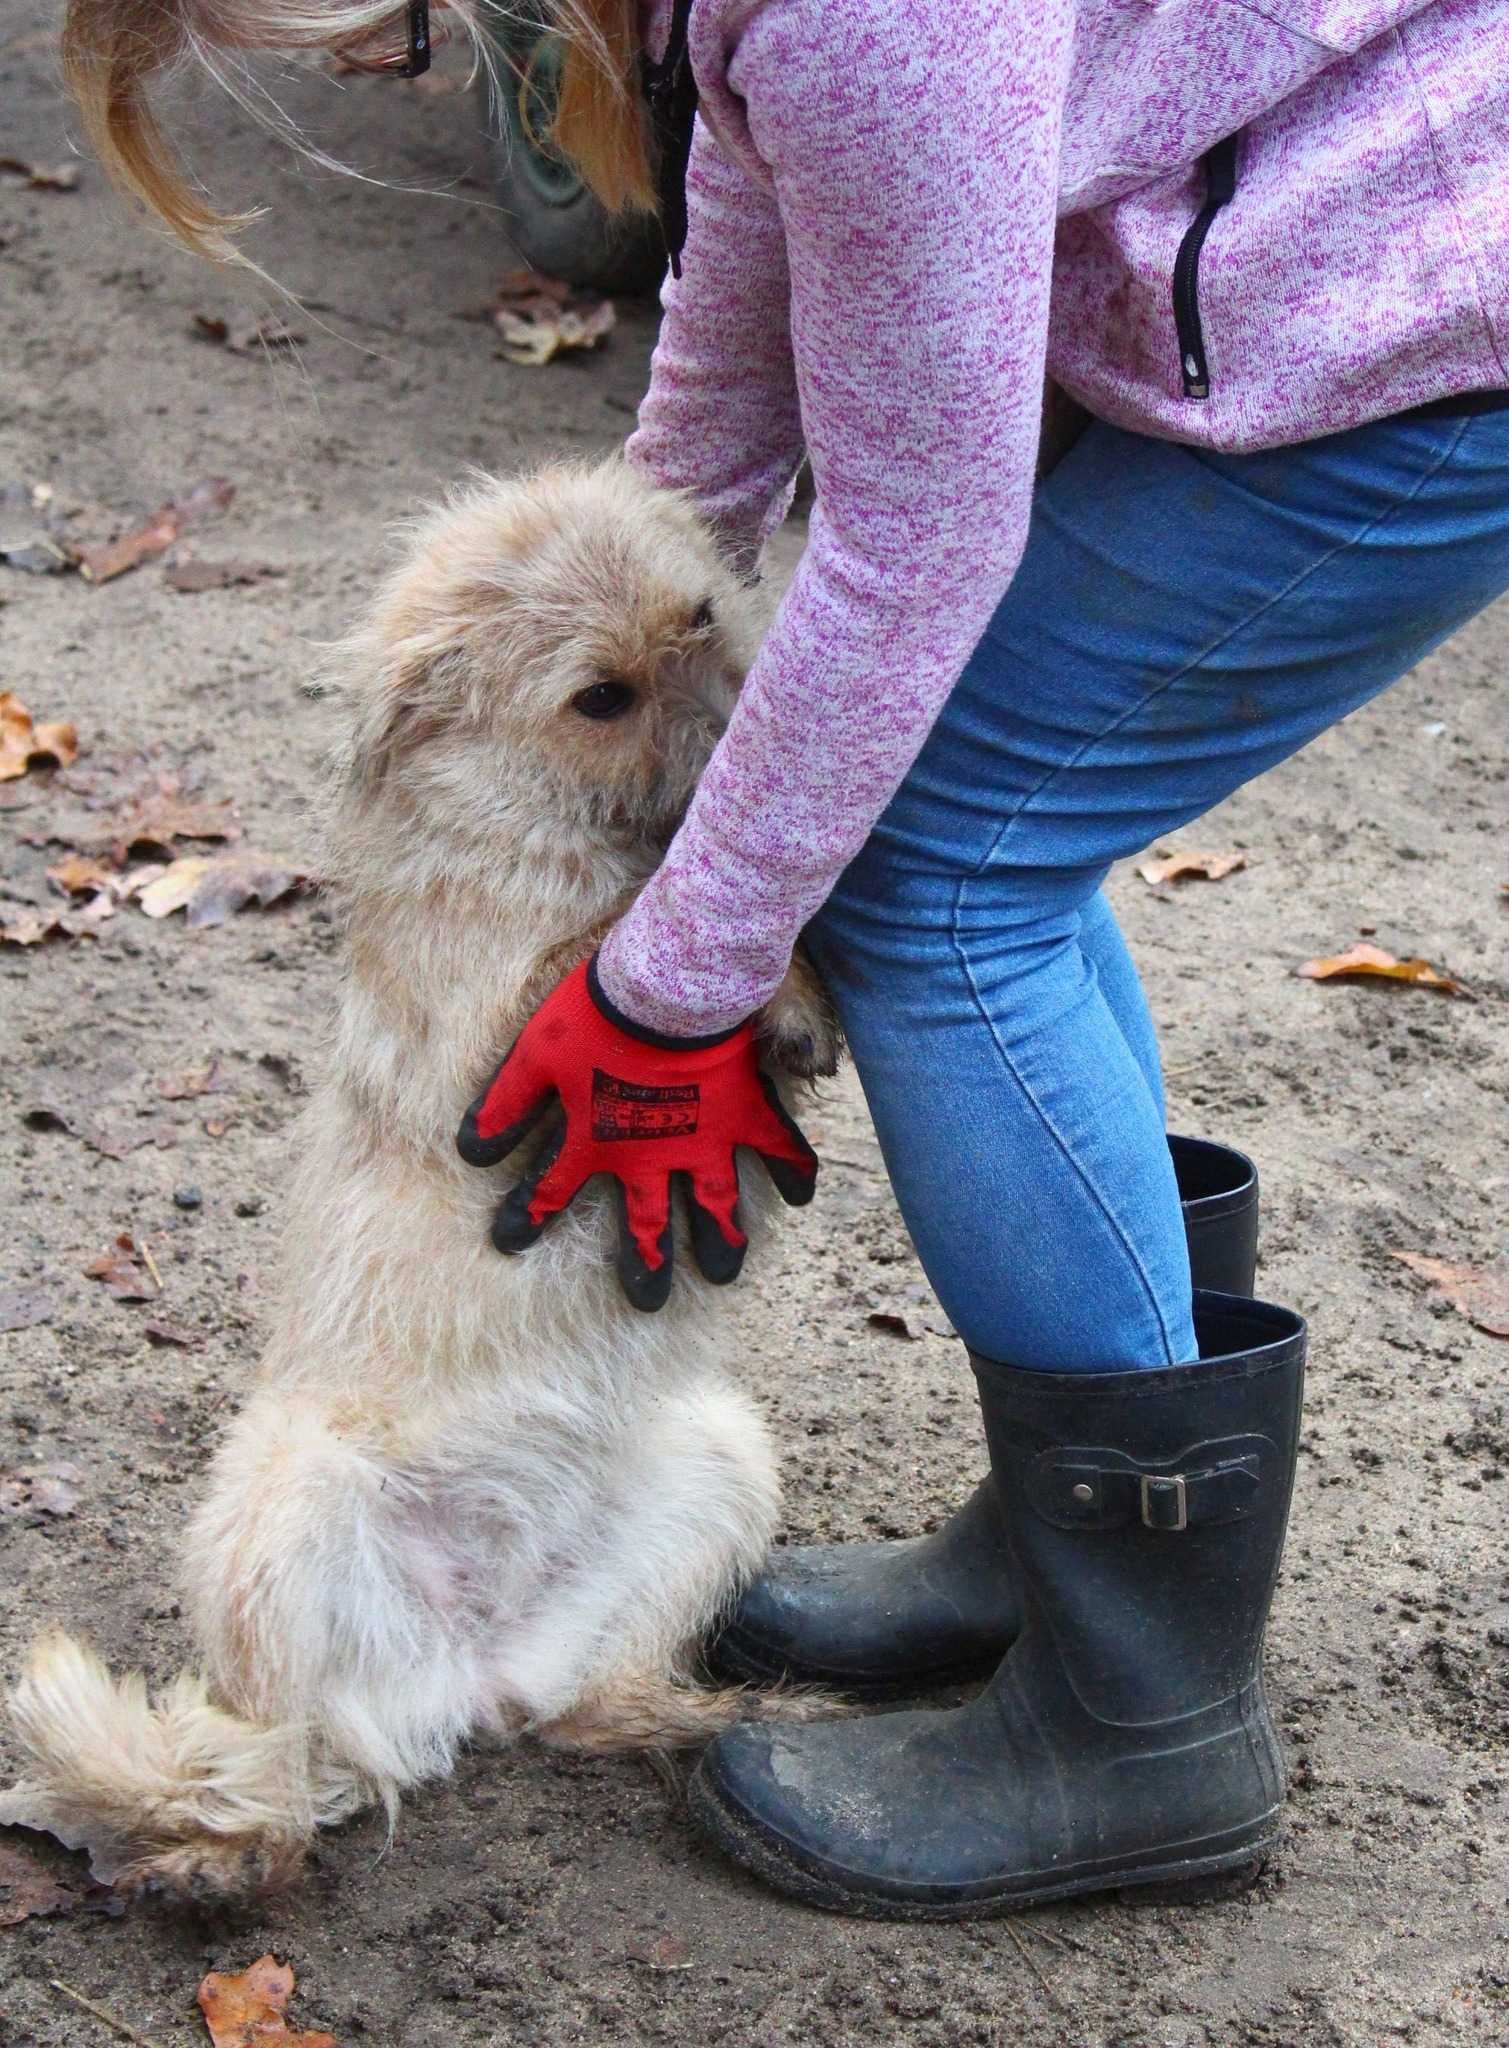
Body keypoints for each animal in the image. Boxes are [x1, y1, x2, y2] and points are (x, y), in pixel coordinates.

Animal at [0, 464, 843, 1900]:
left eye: (700, 618)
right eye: (599, 697)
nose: (759, 746)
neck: (530, 826)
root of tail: (464, 1670)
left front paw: (799, 985)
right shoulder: (494, 1042)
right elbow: (602, 955)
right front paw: (749, 975)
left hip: (721, 1457)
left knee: (589, 1708)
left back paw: (737, 1719)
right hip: (283, 1512)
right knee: (270, 1781)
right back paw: (236, 1837)